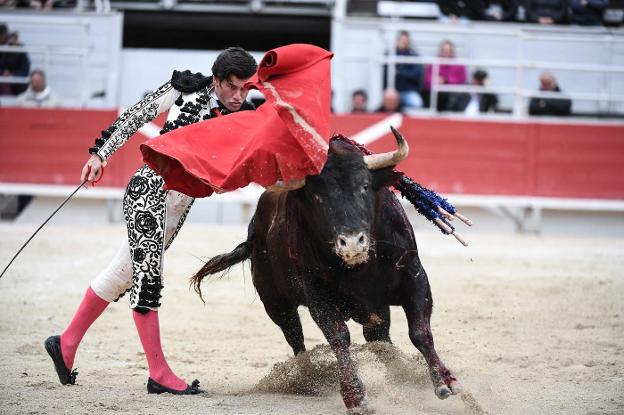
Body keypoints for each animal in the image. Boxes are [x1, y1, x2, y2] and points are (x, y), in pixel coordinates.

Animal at [193, 128, 460, 414]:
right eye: (317, 196)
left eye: (364, 186)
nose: (352, 242)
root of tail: (254, 225)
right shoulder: (316, 294)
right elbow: (338, 336)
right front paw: (355, 396)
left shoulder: (414, 276)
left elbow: (420, 331)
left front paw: (444, 381)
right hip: (275, 303)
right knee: (296, 339)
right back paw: (307, 379)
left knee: (379, 339)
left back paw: (400, 372)